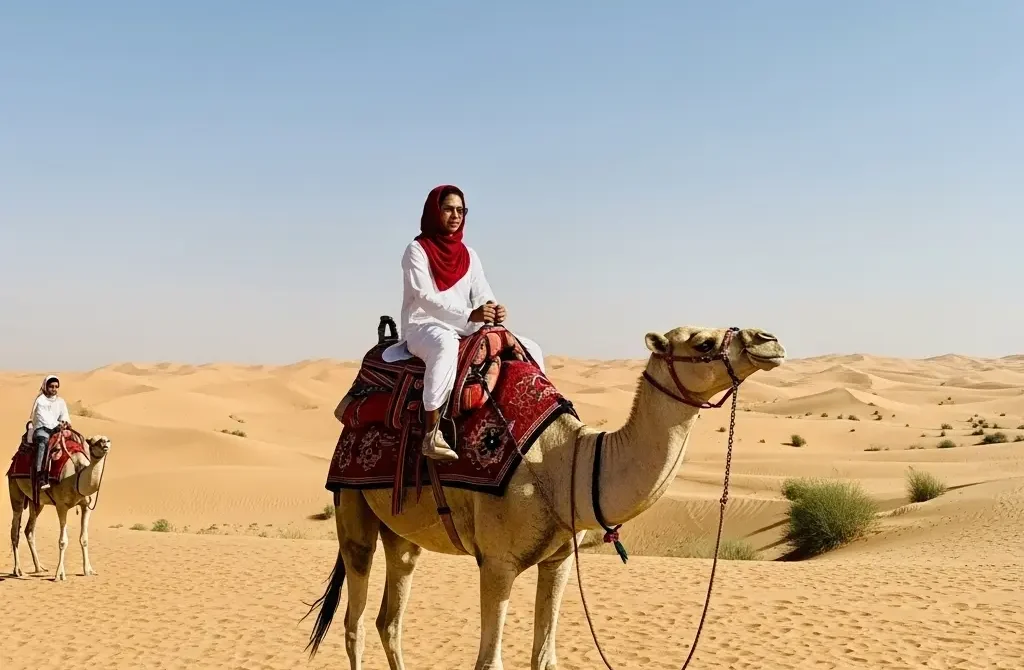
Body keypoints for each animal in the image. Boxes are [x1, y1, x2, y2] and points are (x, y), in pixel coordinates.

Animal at [8, 432, 111, 581]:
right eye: (93, 442)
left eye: (107, 439)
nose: (105, 444)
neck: (77, 477)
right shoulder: (61, 506)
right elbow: (63, 541)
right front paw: (59, 574)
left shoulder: (86, 506)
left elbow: (84, 538)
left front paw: (88, 570)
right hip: (15, 490)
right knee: (14, 530)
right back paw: (18, 570)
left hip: (36, 502)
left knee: (29, 529)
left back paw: (39, 567)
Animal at [306, 325, 786, 670]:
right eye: (703, 341)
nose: (769, 340)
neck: (568, 463)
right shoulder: (496, 563)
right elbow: (489, 662)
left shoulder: (559, 560)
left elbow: (545, 658)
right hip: (350, 505)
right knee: (355, 621)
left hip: (402, 533)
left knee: (390, 619)